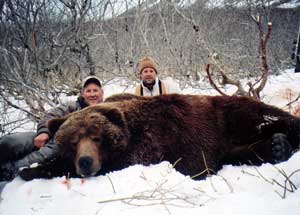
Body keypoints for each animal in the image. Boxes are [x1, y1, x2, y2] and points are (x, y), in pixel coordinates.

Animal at [19, 94, 300, 180]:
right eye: (74, 141)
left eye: (97, 137)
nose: (86, 161)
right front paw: (30, 169)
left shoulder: (148, 146)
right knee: (240, 152)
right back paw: (277, 146)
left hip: (231, 115)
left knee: (271, 118)